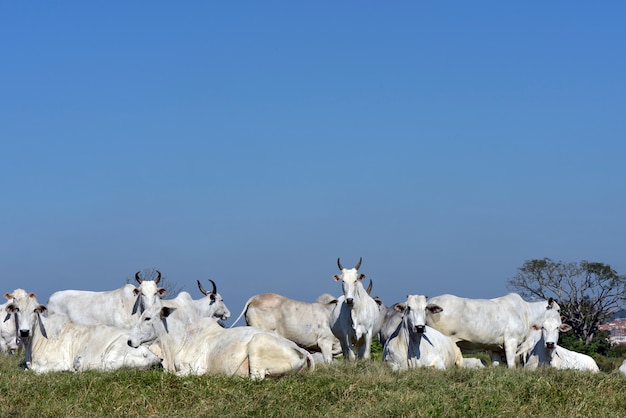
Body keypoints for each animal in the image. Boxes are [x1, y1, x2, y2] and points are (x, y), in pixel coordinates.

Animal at [424, 292, 560, 368]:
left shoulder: (495, 348)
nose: (561, 322)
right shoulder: (511, 340)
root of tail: (431, 302)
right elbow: (511, 364)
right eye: (558, 310)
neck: (527, 314)